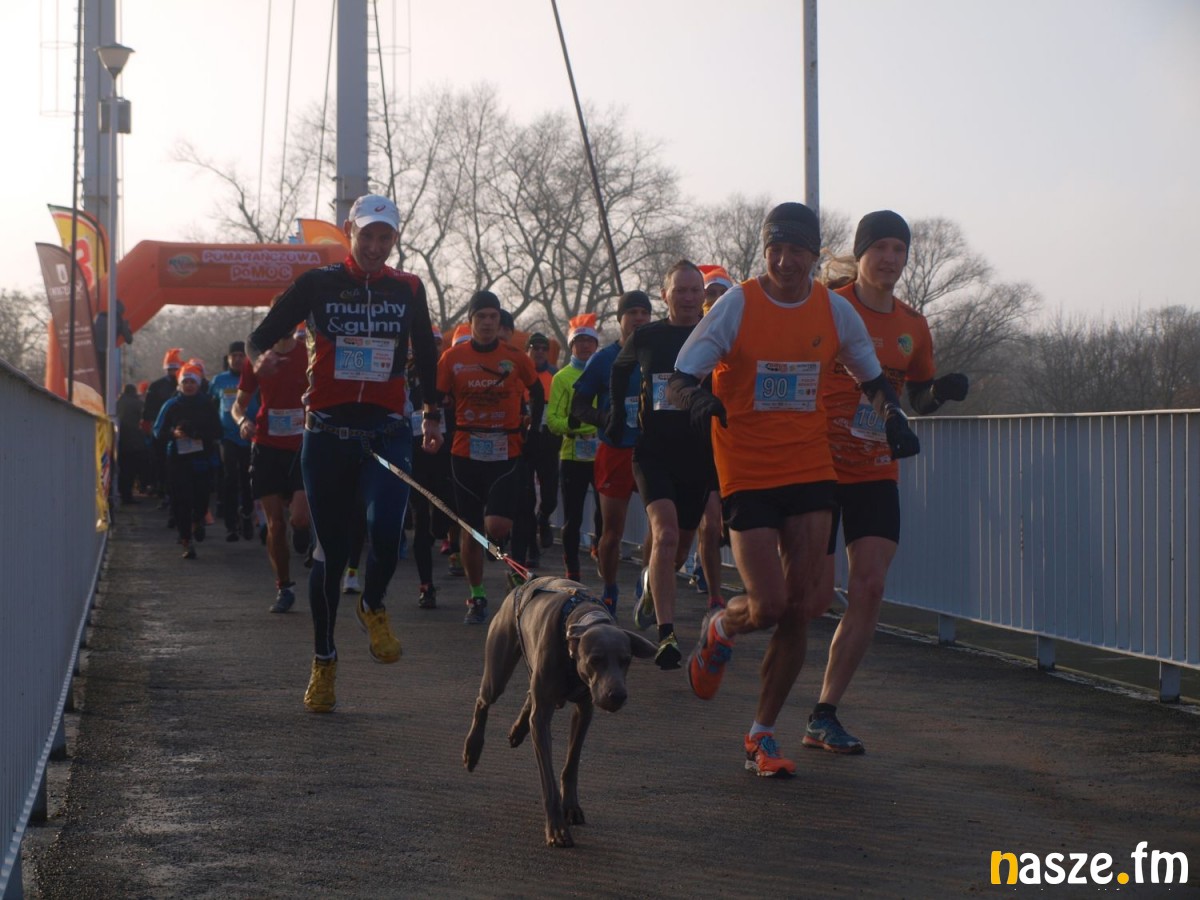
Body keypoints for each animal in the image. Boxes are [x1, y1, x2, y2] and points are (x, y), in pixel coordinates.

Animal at [463, 575, 657, 847]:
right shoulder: (543, 718)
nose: (617, 696)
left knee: (529, 696)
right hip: (498, 670)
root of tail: (520, 585)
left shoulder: (584, 710)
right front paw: (556, 829)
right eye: (595, 660)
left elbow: (571, 764)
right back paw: (473, 750)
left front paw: (572, 806)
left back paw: (518, 731)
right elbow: (549, 781)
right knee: (483, 700)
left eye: (626, 660)